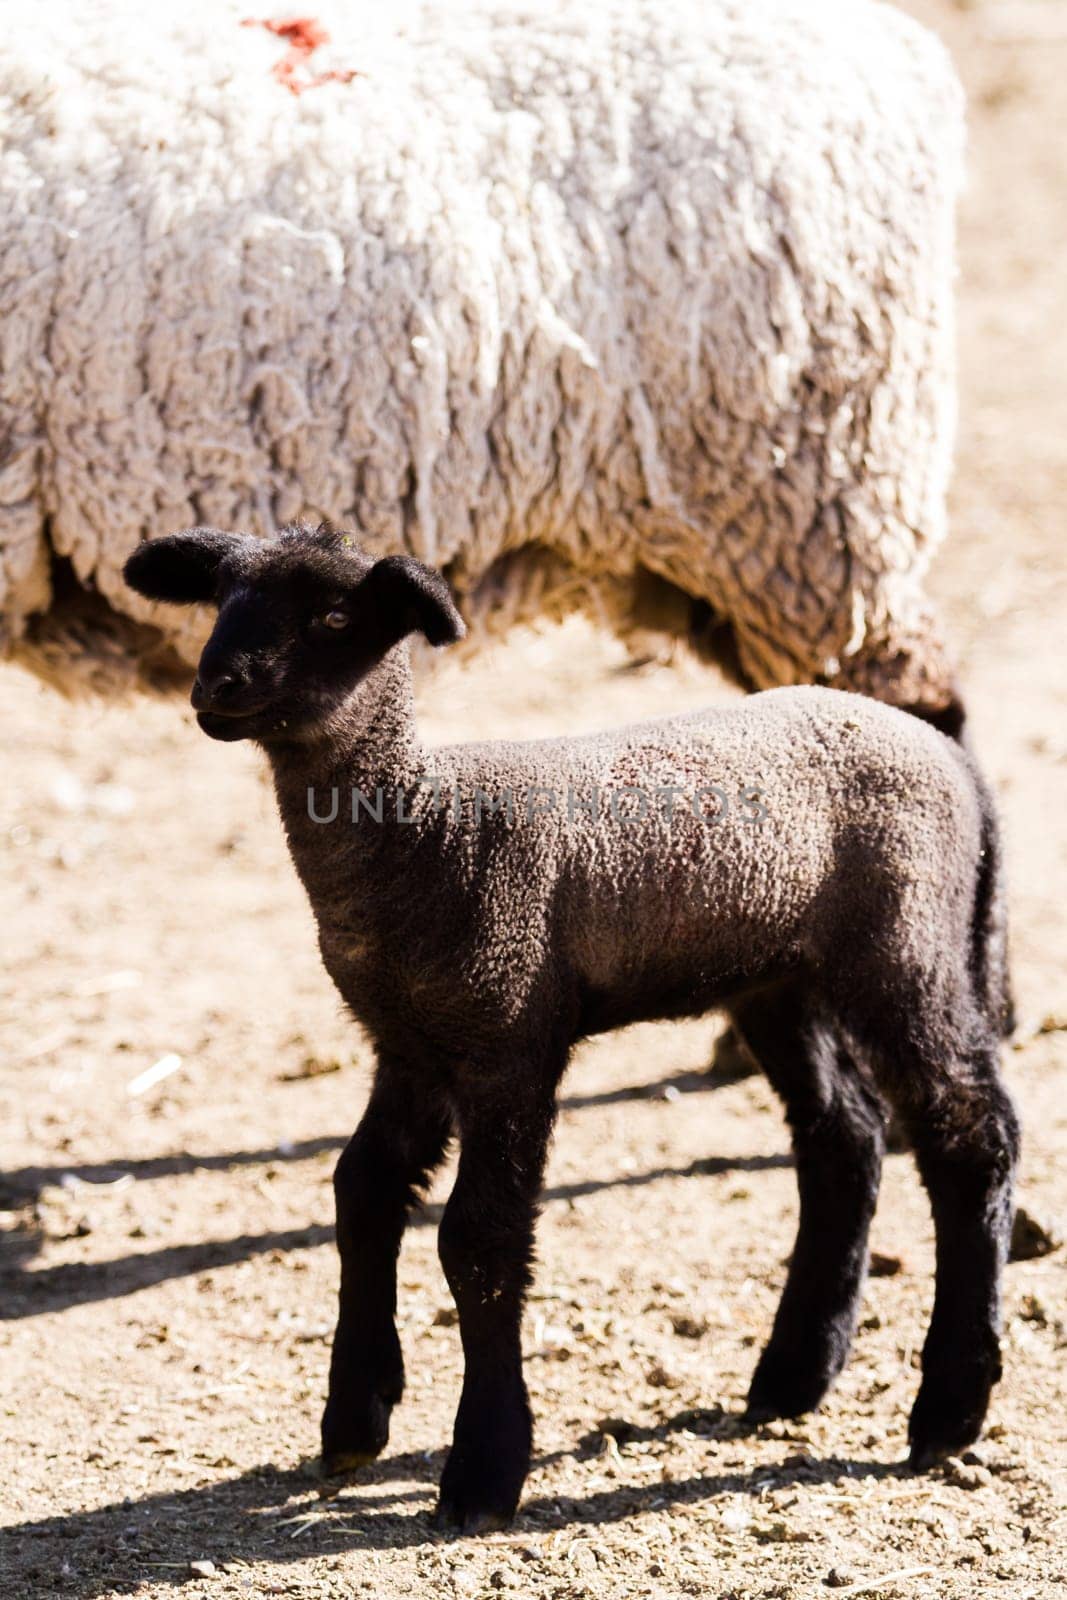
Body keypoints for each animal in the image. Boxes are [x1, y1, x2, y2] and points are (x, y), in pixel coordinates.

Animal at [120, 521, 1023, 1523]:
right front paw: (355, 1417)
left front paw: (483, 1468)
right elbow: (360, 1191)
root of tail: (952, 759)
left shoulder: (509, 1037)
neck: (428, 831)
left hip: (905, 947)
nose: (215, 687)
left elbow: (477, 1240)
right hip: (777, 979)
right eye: (221, 599)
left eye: (334, 617)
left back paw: (948, 1407)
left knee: (968, 1134)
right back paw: (793, 1375)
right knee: (843, 1135)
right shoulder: (411, 1045)